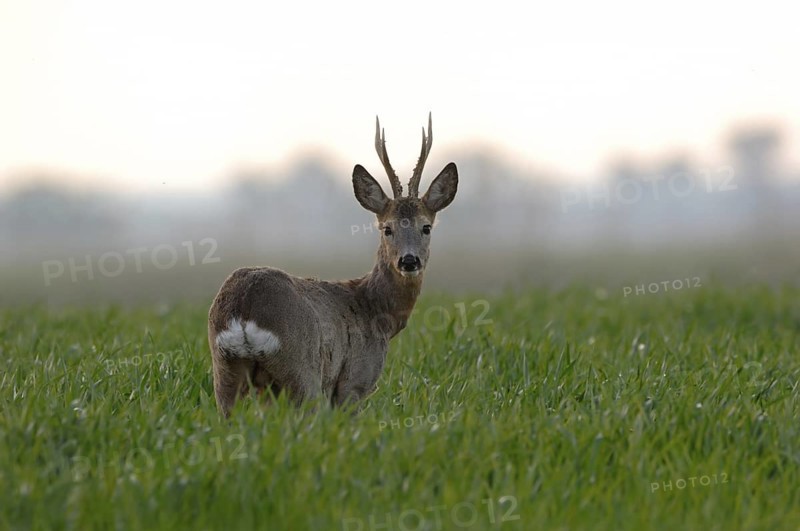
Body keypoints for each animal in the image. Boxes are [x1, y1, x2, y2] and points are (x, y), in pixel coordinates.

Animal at [208, 113, 458, 417]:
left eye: (426, 227)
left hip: (225, 370)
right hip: (303, 370)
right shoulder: (355, 379)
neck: (376, 312)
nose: (409, 260)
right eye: (387, 228)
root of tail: (244, 309)